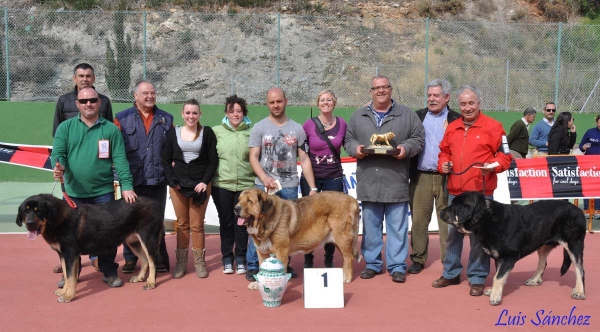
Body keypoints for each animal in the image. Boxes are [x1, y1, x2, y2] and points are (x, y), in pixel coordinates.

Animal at [15, 195, 169, 304]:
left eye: (38, 211)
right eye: (25, 211)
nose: (29, 224)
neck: (58, 219)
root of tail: (156, 203)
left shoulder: (71, 254)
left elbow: (71, 277)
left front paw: (69, 296)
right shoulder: (63, 254)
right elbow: (66, 275)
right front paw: (64, 292)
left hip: (148, 238)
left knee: (153, 261)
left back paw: (151, 282)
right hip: (133, 241)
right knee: (145, 260)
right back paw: (140, 278)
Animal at [440, 192, 584, 306]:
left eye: (454, 206)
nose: (440, 211)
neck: (486, 218)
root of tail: (578, 210)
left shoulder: (508, 257)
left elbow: (497, 278)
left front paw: (495, 297)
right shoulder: (499, 258)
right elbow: (499, 276)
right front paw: (494, 292)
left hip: (574, 244)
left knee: (580, 269)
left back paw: (579, 292)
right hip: (543, 244)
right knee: (543, 263)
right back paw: (534, 280)